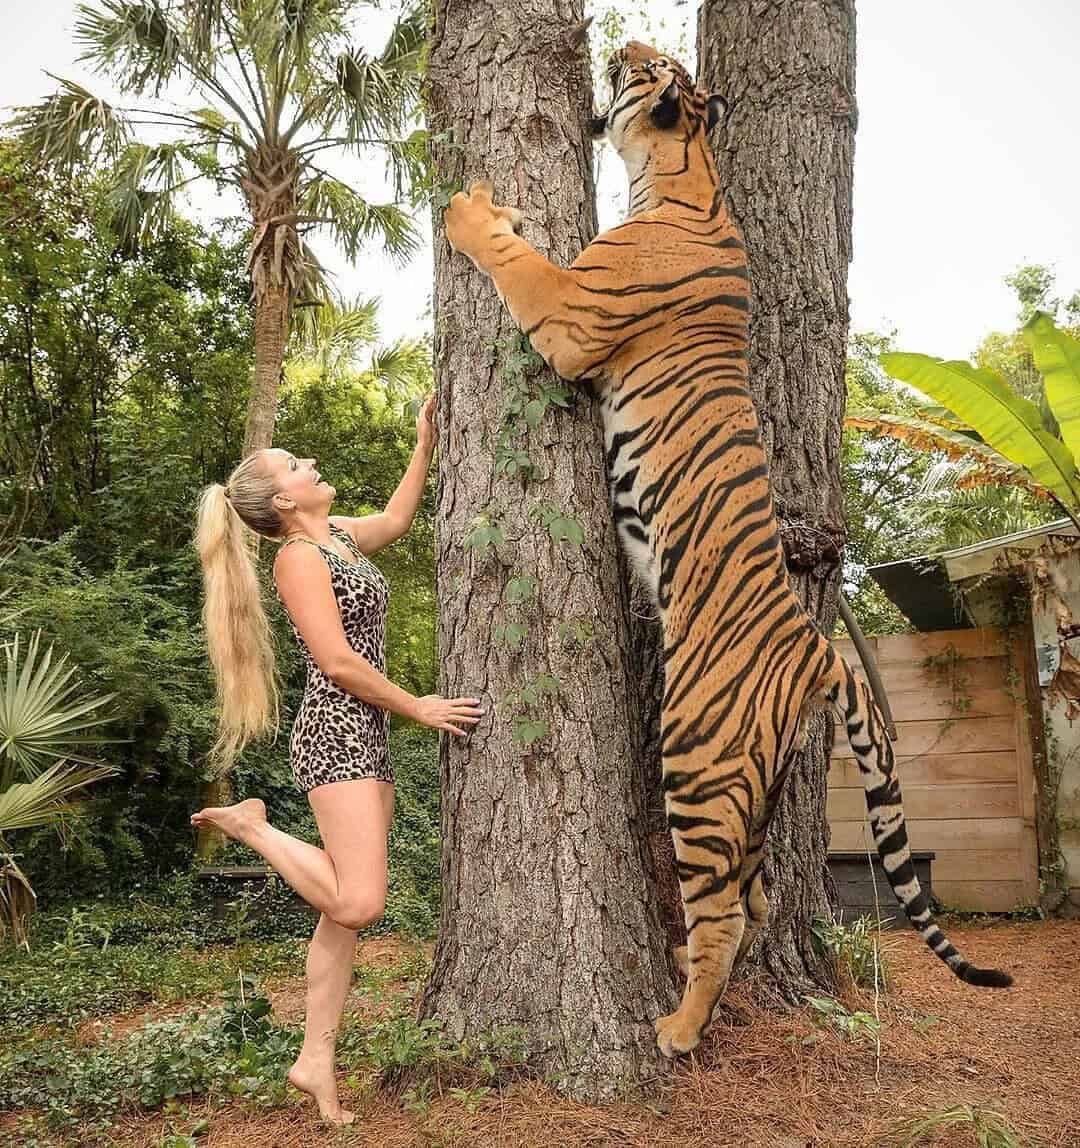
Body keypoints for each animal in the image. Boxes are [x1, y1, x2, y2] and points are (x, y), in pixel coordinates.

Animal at [443, 40, 1012, 1058]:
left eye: (645, 65)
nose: (619, 44)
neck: (683, 173)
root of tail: (819, 648)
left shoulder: (570, 310)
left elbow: (514, 257)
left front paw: (471, 210)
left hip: (700, 761)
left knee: (726, 911)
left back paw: (677, 1025)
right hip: (754, 786)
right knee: (759, 896)